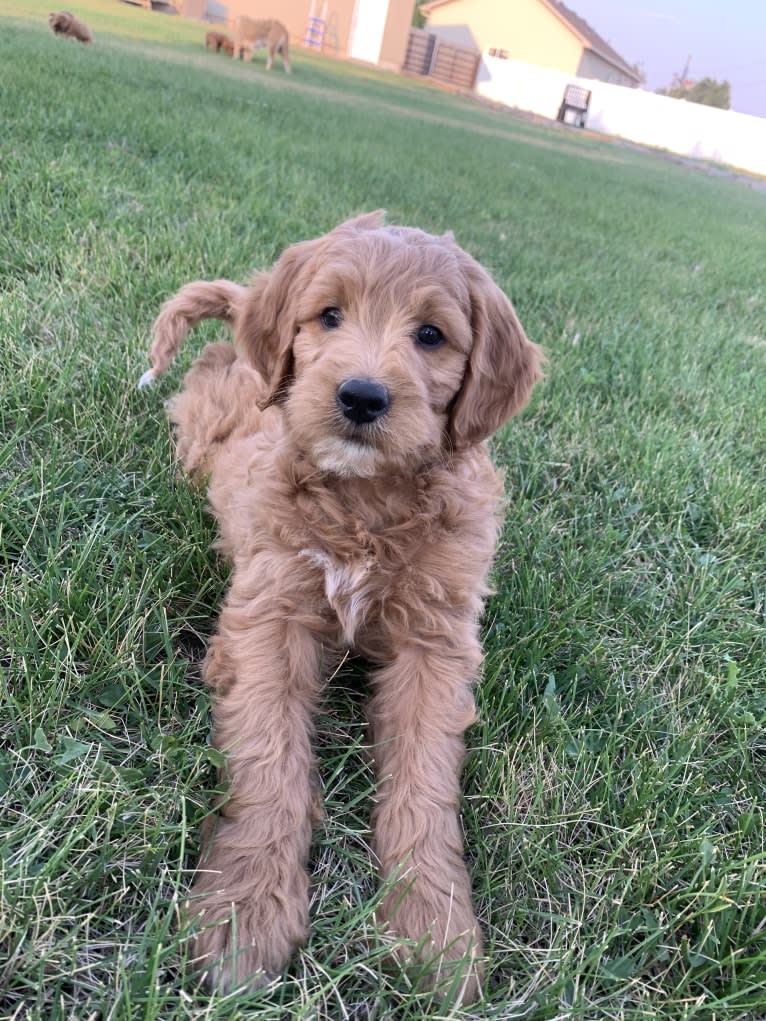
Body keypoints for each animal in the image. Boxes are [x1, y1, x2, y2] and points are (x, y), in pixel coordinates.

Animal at [139, 211, 547, 1000]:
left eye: (431, 335)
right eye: (329, 315)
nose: (361, 396)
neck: (366, 503)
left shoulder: (436, 640)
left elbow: (424, 781)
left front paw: (433, 929)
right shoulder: (271, 615)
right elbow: (270, 755)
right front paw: (246, 912)